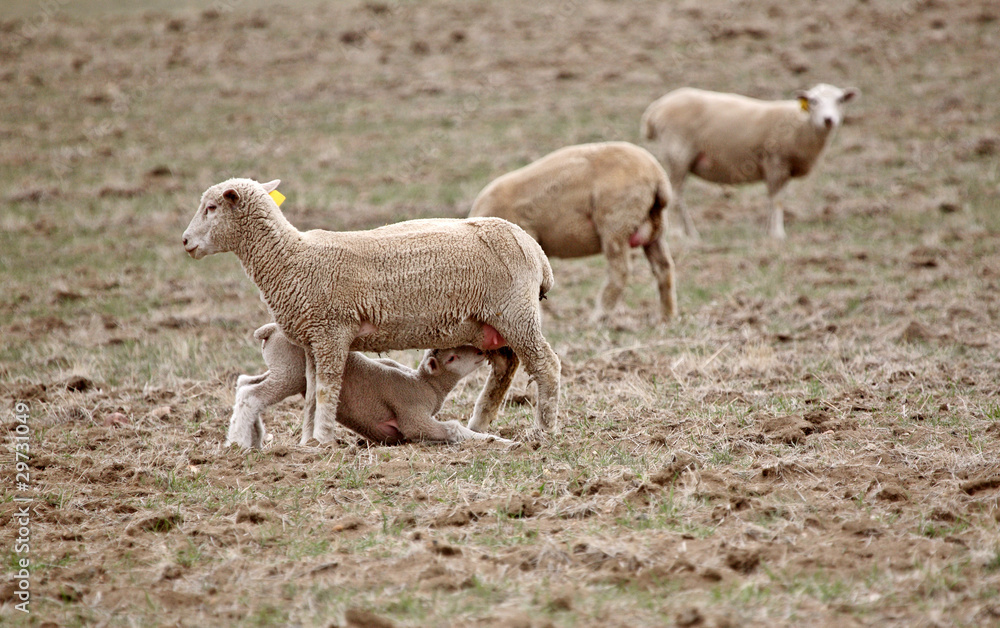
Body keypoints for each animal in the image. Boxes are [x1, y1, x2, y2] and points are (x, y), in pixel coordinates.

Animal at [227, 323, 510, 448]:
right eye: (451, 358)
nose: (481, 352)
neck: (425, 385)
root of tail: (270, 330)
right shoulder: (411, 414)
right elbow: (451, 428)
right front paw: (500, 441)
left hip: (279, 369)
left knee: (244, 384)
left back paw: (252, 438)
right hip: (289, 372)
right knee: (252, 395)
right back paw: (238, 444)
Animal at [469, 141, 677, 323]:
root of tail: (658, 177)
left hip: (615, 221)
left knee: (620, 272)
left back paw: (598, 317)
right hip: (655, 229)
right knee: (664, 268)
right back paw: (665, 316)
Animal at [641, 83, 858, 240]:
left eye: (840, 100)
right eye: (813, 101)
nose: (829, 120)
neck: (802, 123)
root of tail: (655, 109)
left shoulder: (783, 169)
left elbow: (774, 198)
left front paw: (767, 230)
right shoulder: (775, 161)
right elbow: (776, 199)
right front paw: (777, 233)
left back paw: (691, 233)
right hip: (678, 153)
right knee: (676, 194)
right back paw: (678, 233)